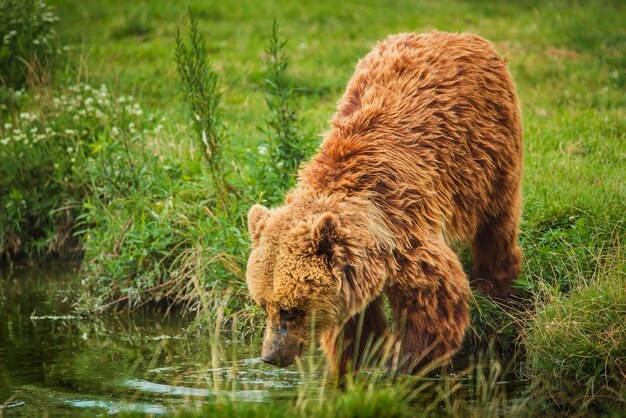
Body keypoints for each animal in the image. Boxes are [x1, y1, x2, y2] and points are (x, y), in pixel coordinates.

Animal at [244, 31, 520, 372]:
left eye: (291, 308)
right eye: (263, 303)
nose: (270, 356)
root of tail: (458, 35)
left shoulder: (406, 229)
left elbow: (433, 298)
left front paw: (402, 360)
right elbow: (356, 323)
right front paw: (364, 355)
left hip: (487, 151)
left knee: (496, 221)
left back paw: (497, 288)